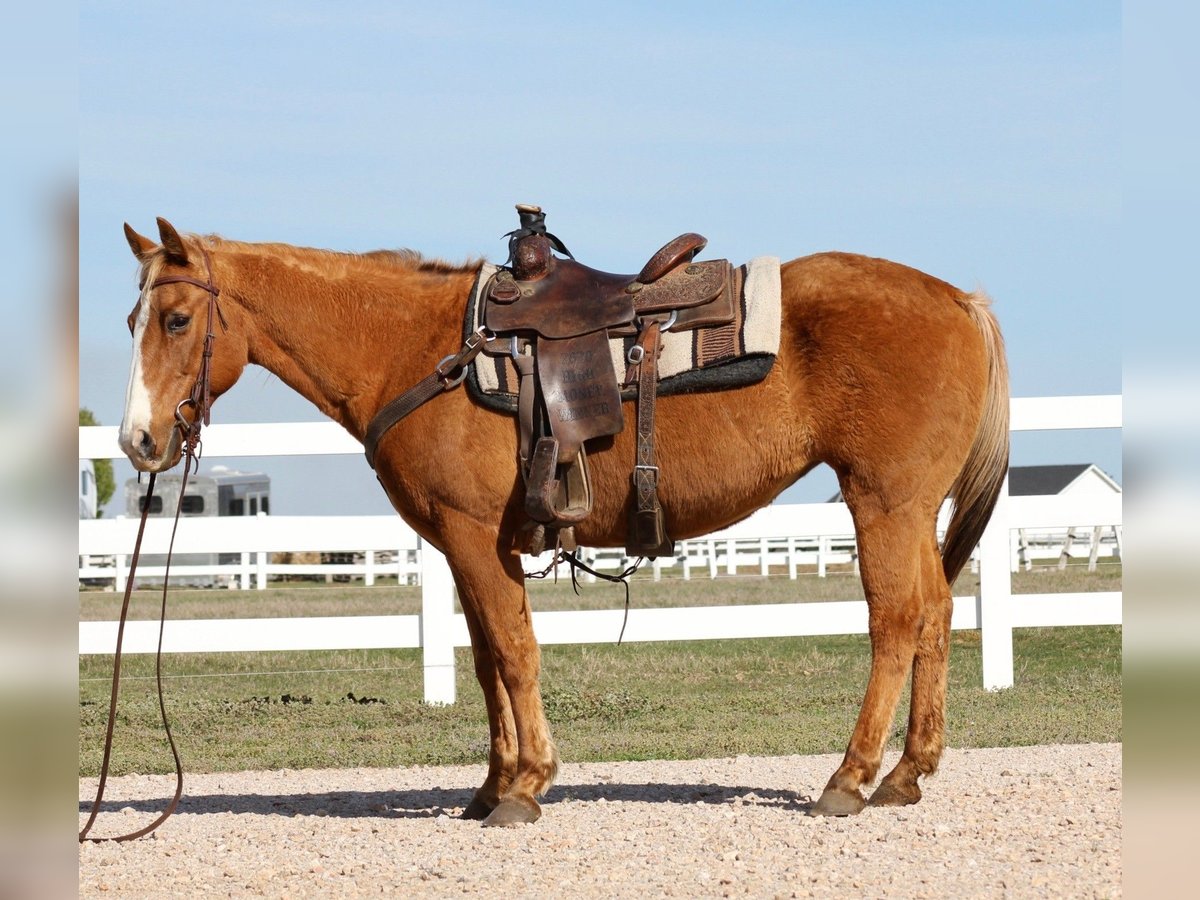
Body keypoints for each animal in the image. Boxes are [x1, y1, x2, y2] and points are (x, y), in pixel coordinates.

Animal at [117, 216, 1008, 825]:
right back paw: (906, 774)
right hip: (909, 509)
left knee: (897, 620)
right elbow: (486, 661)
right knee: (936, 615)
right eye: (135, 321)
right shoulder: (466, 546)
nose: (139, 441)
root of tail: (959, 300)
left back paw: (849, 779)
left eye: (175, 320)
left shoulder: (474, 535)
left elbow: (515, 653)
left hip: (884, 502)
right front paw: (490, 785)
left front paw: (527, 785)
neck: (414, 350)